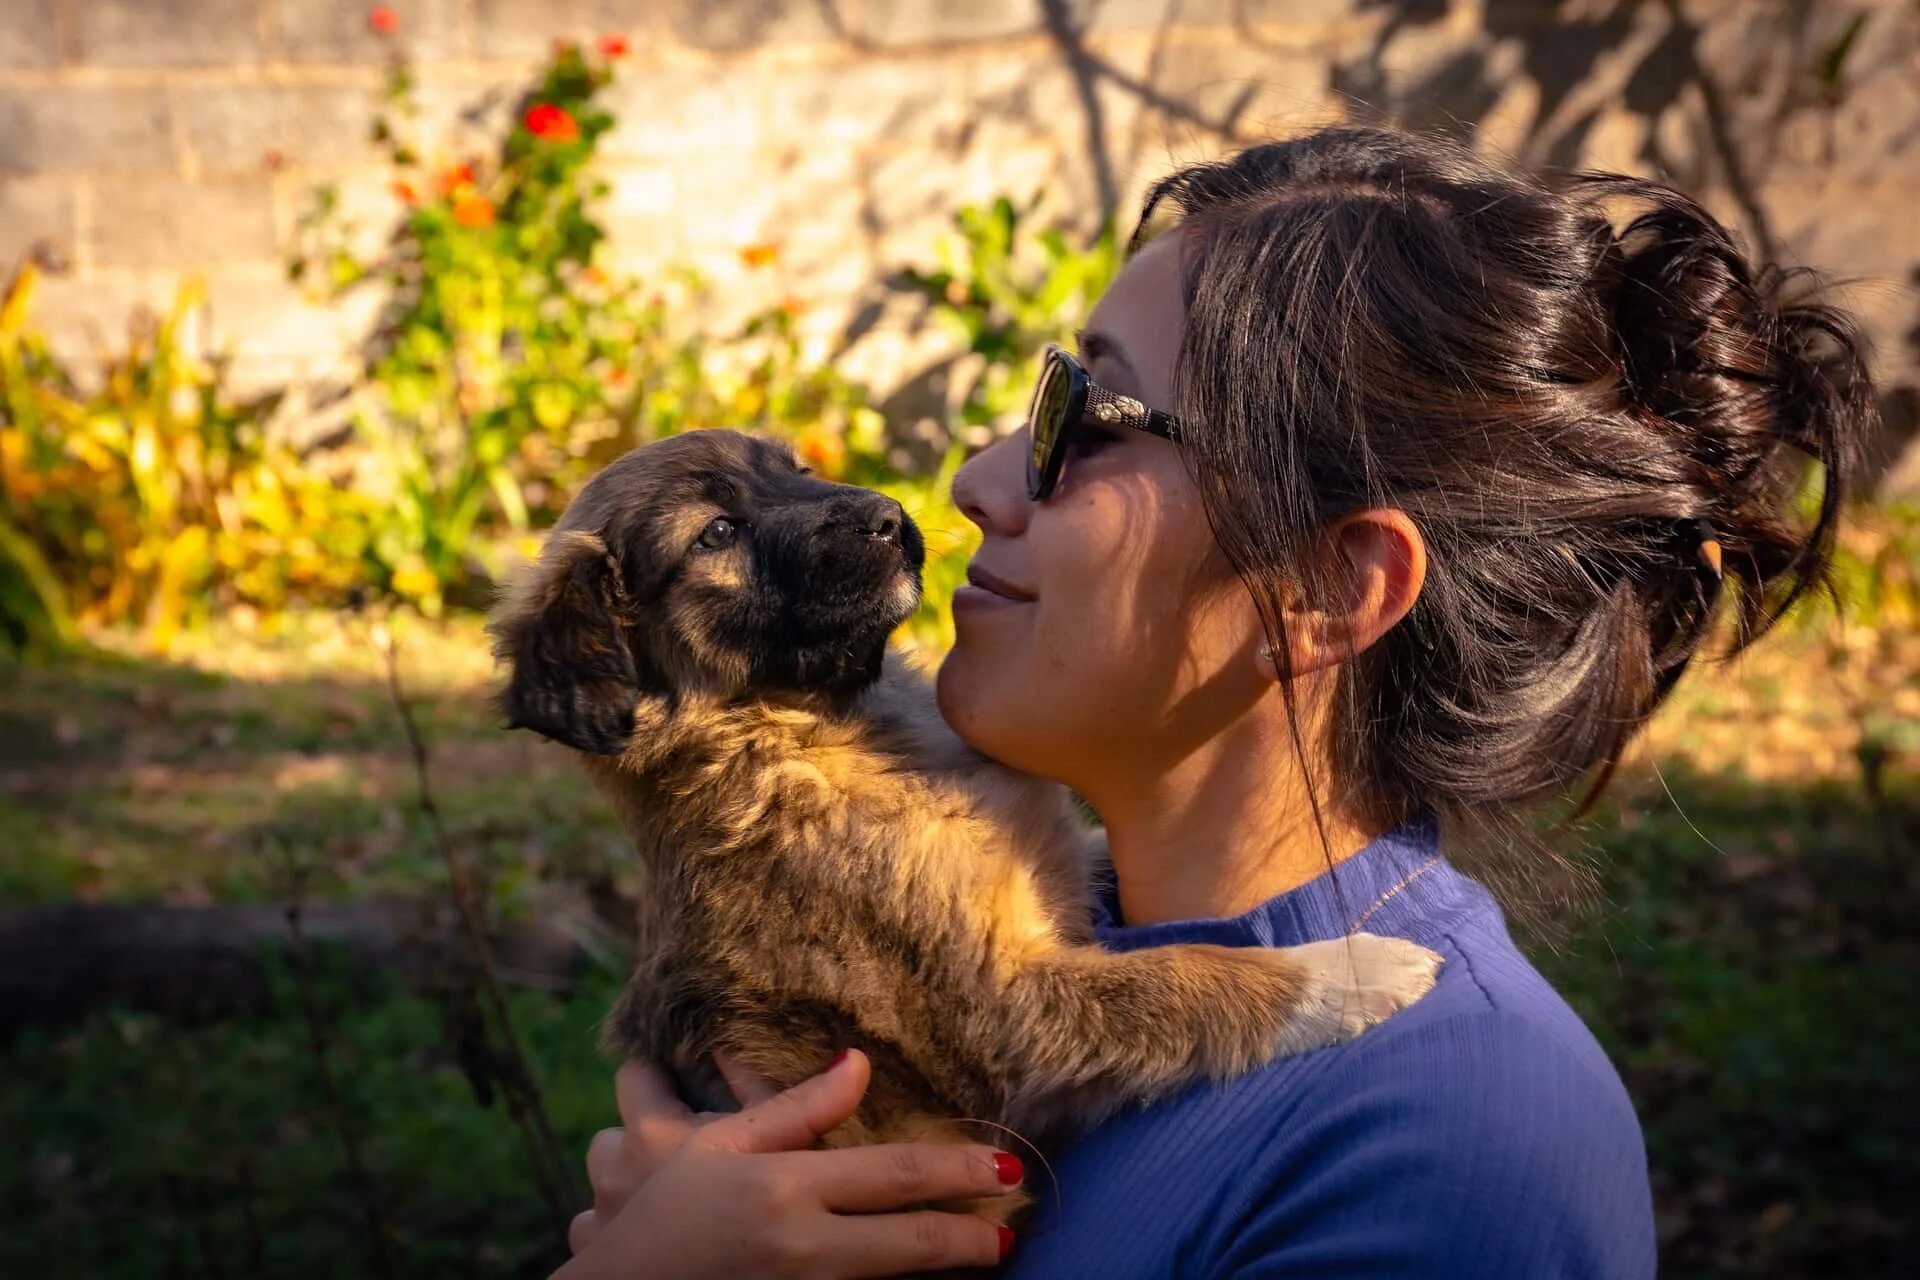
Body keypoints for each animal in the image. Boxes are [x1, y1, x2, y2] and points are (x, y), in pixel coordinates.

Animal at [491, 429, 1443, 1228]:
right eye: (716, 534)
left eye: (794, 468)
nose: (887, 516)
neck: (831, 729)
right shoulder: (1000, 1013)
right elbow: (1182, 975)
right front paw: (1350, 968)